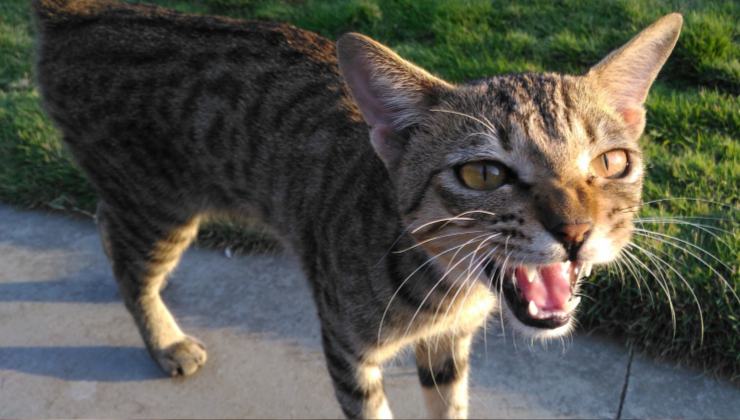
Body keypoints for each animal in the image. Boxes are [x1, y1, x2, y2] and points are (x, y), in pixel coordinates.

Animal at [31, 1, 682, 418]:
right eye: (483, 173)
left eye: (613, 162)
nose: (575, 231)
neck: (448, 287)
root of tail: (76, 12)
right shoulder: (348, 351)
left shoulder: (448, 347)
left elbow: (449, 406)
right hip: (158, 203)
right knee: (129, 262)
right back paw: (164, 338)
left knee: (106, 226)